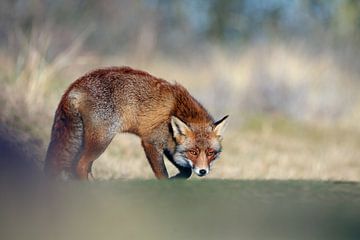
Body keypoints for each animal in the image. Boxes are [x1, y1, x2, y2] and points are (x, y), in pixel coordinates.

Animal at [44, 66, 228, 180]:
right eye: (194, 152)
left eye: (211, 153)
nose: (203, 171)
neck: (178, 110)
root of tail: (75, 85)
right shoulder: (151, 143)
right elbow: (163, 175)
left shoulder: (170, 146)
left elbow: (186, 171)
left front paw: (176, 179)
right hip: (101, 141)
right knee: (80, 165)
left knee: (79, 166)